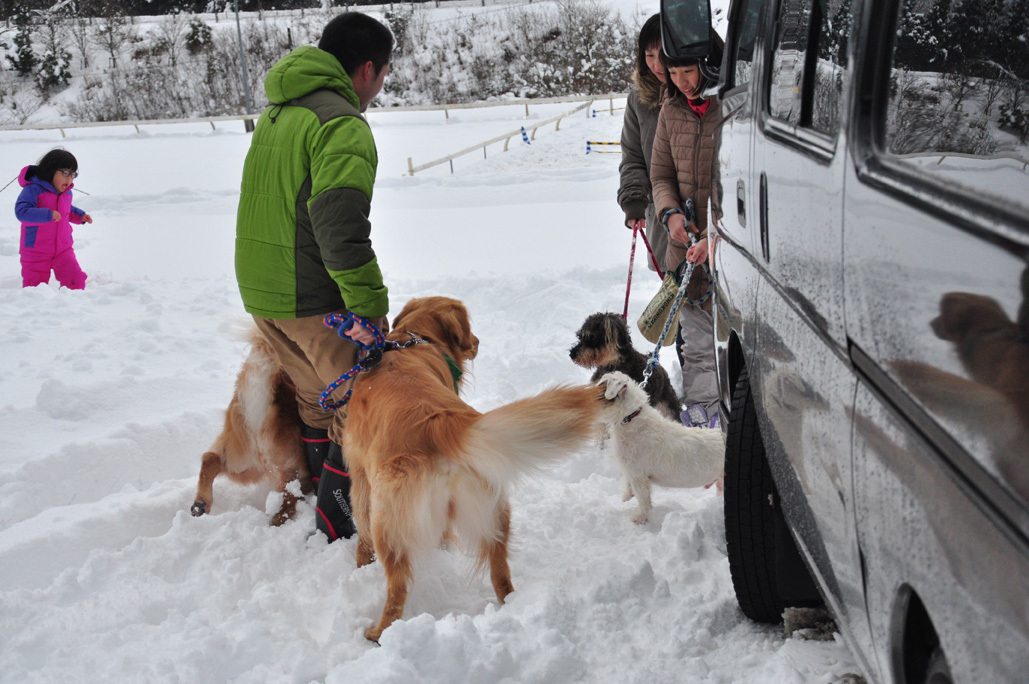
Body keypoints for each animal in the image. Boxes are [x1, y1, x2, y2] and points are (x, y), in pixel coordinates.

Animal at [345, 294, 600, 641]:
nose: (478, 341)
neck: (415, 339)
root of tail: (439, 424)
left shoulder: (359, 476)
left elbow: (361, 532)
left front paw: (360, 565)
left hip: (388, 524)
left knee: (397, 589)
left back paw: (378, 632)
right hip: (493, 510)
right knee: (500, 573)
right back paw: (509, 605)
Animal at [596, 370, 724, 520]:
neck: (631, 417)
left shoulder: (638, 474)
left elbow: (643, 498)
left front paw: (639, 517)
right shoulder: (630, 469)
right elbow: (629, 483)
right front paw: (627, 495)